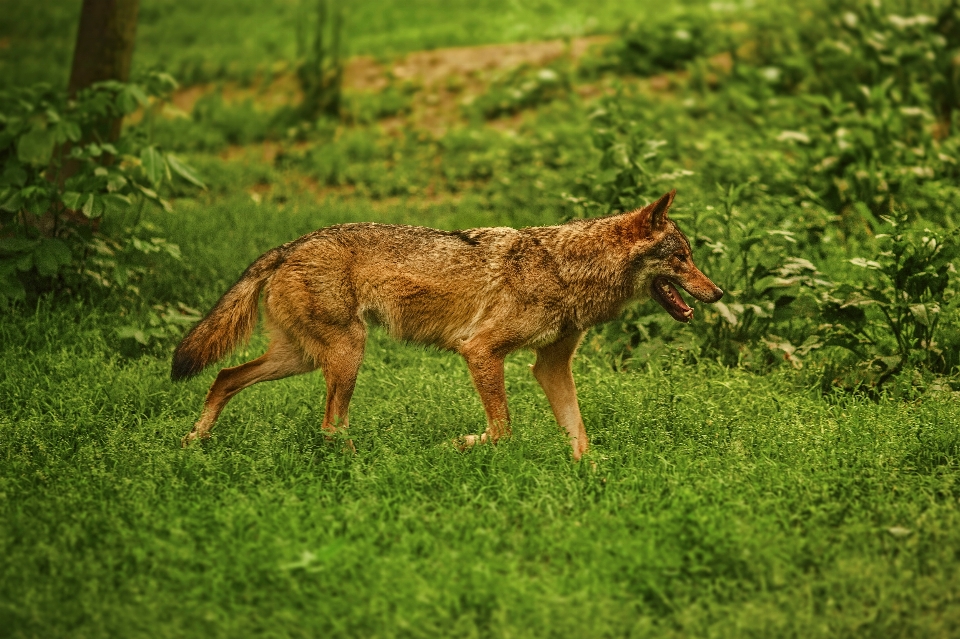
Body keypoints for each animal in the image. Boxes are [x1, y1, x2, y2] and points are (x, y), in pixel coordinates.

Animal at [172, 190, 720, 460]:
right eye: (683, 259)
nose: (717, 294)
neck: (568, 269)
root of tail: (289, 245)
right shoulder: (479, 350)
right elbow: (502, 432)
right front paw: (458, 446)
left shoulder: (550, 366)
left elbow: (579, 436)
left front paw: (591, 480)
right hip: (347, 355)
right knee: (329, 425)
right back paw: (363, 464)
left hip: (303, 358)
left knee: (225, 377)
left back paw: (193, 444)